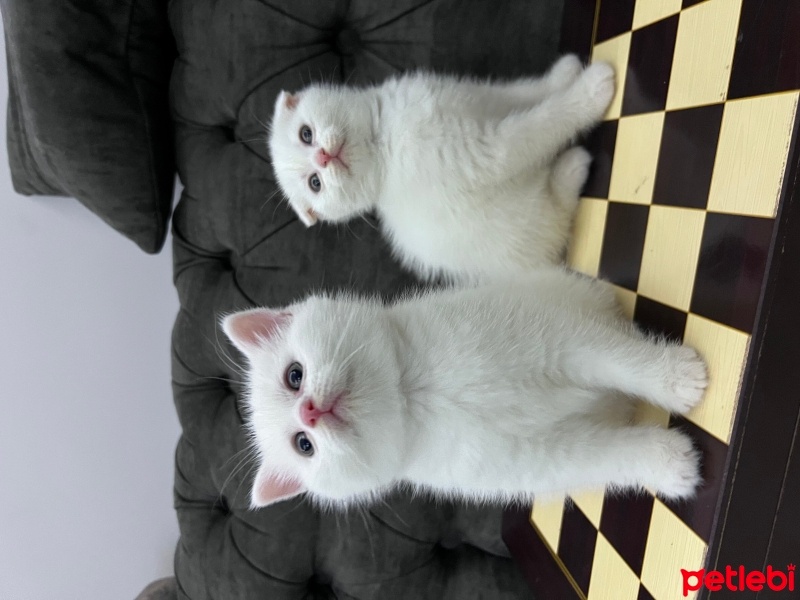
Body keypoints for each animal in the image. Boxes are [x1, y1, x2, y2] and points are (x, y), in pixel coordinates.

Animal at [223, 272, 708, 510]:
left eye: (293, 376)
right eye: (303, 445)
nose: (308, 412)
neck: (412, 393)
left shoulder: (555, 337)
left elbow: (615, 359)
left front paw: (676, 378)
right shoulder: (540, 458)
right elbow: (607, 457)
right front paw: (666, 464)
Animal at [268, 55, 612, 282]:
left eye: (305, 134)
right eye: (315, 184)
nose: (323, 158)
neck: (382, 137)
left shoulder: (478, 99)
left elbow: (520, 92)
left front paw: (562, 75)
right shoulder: (485, 152)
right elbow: (539, 125)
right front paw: (590, 92)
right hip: (533, 224)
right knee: (560, 211)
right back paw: (572, 166)